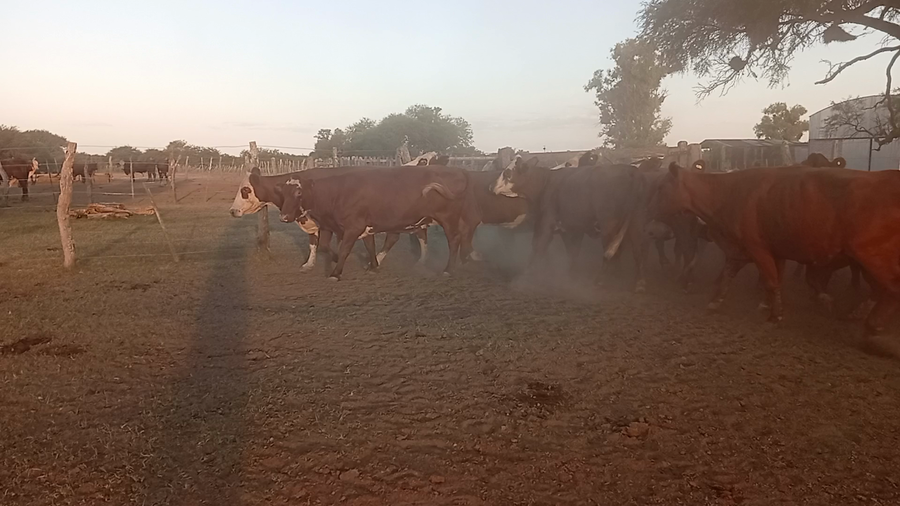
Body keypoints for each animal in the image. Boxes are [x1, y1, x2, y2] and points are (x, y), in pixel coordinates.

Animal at [230, 167, 429, 271]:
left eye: (245, 190)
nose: (232, 211)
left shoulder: (329, 225)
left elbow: (326, 246)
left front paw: (336, 258)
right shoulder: (312, 225)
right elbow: (314, 244)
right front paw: (309, 264)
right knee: (400, 236)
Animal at [275, 166, 474, 280]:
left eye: (299, 192)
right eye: (283, 193)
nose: (283, 217)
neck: (337, 193)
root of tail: (460, 171)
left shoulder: (353, 228)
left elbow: (345, 249)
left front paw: (336, 273)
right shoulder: (359, 227)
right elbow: (364, 246)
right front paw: (373, 266)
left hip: (448, 218)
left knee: (454, 240)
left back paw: (449, 269)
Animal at [491, 156, 648, 292]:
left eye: (507, 172)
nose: (491, 186)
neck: (546, 183)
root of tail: (632, 171)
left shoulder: (546, 222)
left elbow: (538, 246)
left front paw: (524, 276)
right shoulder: (570, 229)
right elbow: (572, 252)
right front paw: (571, 274)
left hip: (608, 224)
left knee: (611, 252)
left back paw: (601, 280)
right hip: (637, 221)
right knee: (637, 250)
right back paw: (638, 283)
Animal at [656, 161, 900, 335]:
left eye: (661, 187)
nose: (652, 210)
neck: (728, 193)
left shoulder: (758, 249)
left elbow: (772, 282)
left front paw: (775, 317)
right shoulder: (752, 250)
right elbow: (730, 276)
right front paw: (716, 303)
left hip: (873, 257)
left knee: (891, 288)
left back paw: (874, 323)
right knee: (880, 290)